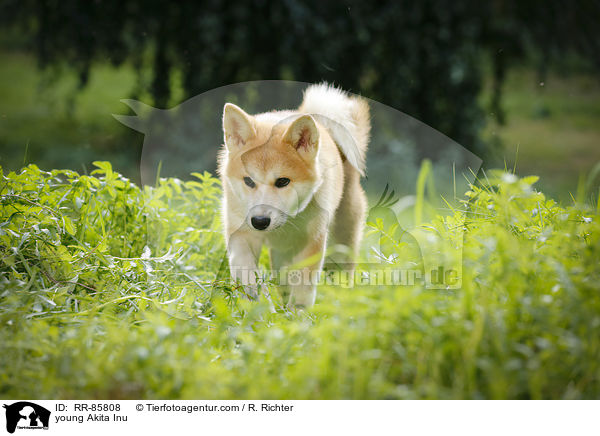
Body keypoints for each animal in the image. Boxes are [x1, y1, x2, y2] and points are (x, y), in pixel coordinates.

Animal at [219, 82, 370, 306]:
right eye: (249, 181)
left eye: (283, 181)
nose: (260, 221)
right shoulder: (241, 234)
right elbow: (248, 275)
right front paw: (261, 307)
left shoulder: (312, 241)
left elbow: (303, 290)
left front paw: (296, 314)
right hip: (281, 254)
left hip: (342, 241)